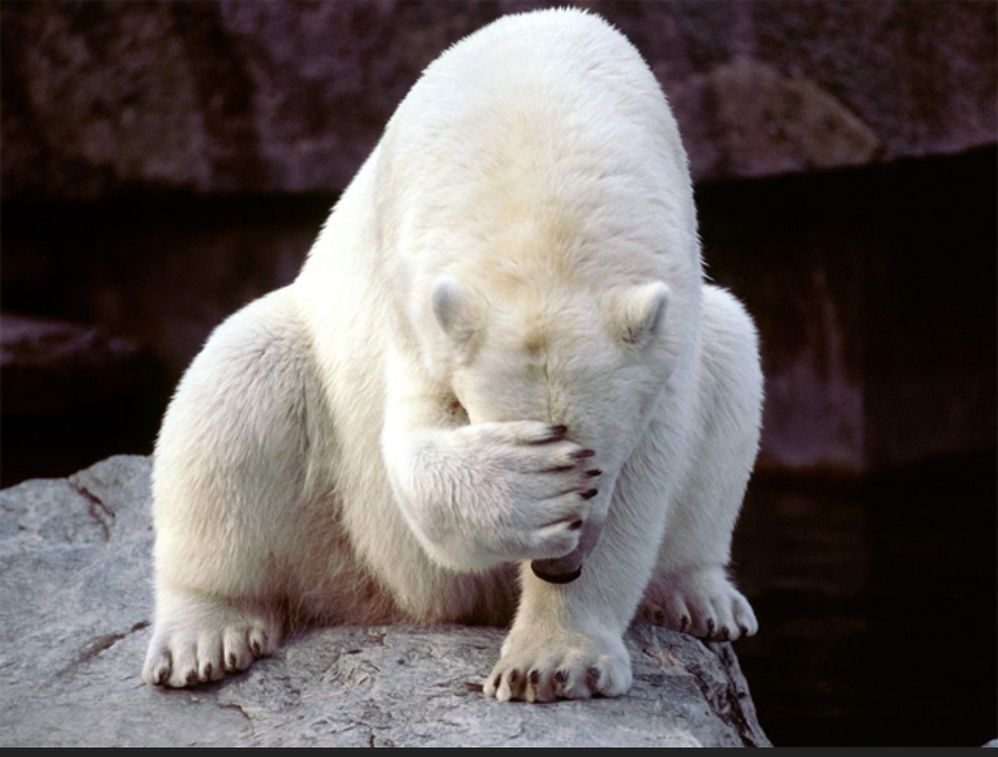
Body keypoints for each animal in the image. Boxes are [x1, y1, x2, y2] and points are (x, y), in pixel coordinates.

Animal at [142, 7, 762, 703]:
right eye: (559, 452)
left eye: (598, 462)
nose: (559, 567)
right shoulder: (413, 292)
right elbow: (411, 445)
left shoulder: (670, 314)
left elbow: (649, 470)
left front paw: (551, 663)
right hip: (332, 515)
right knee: (238, 380)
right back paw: (203, 635)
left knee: (732, 354)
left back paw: (701, 596)